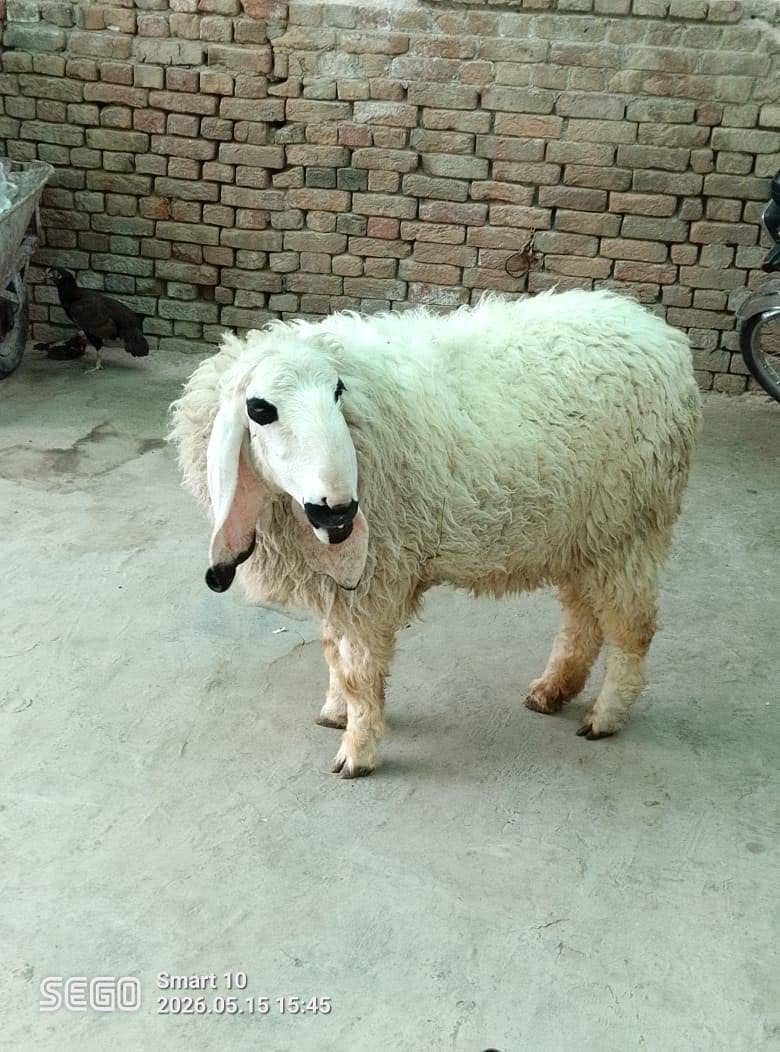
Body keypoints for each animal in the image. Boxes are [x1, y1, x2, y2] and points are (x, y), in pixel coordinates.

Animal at [170, 288, 702, 779]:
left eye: (338, 393)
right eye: (261, 410)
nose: (339, 512)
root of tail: (661, 335)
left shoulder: (374, 577)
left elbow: (359, 669)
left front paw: (357, 749)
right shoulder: (338, 582)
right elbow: (333, 651)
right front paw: (337, 711)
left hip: (629, 527)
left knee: (632, 627)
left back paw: (606, 716)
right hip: (583, 534)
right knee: (581, 617)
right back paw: (553, 690)